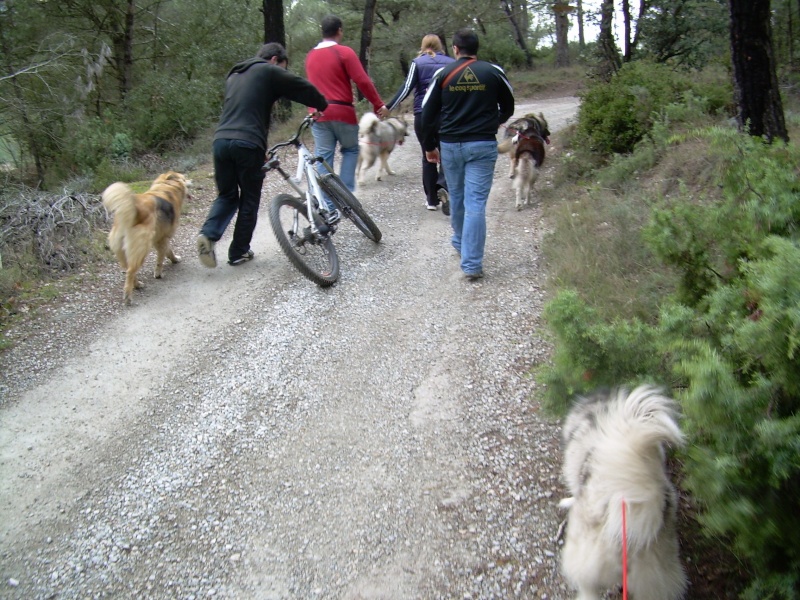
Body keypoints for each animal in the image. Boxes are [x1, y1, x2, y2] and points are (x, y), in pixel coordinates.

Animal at [101, 172, 191, 304]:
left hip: (122, 251)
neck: (167, 186)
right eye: (184, 178)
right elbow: (162, 256)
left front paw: (174, 260)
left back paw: (137, 284)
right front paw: (159, 273)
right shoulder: (163, 237)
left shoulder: (159, 238)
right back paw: (128, 296)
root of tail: (134, 211)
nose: (190, 180)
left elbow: (168, 251)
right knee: (130, 271)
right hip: (142, 249)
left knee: (128, 269)